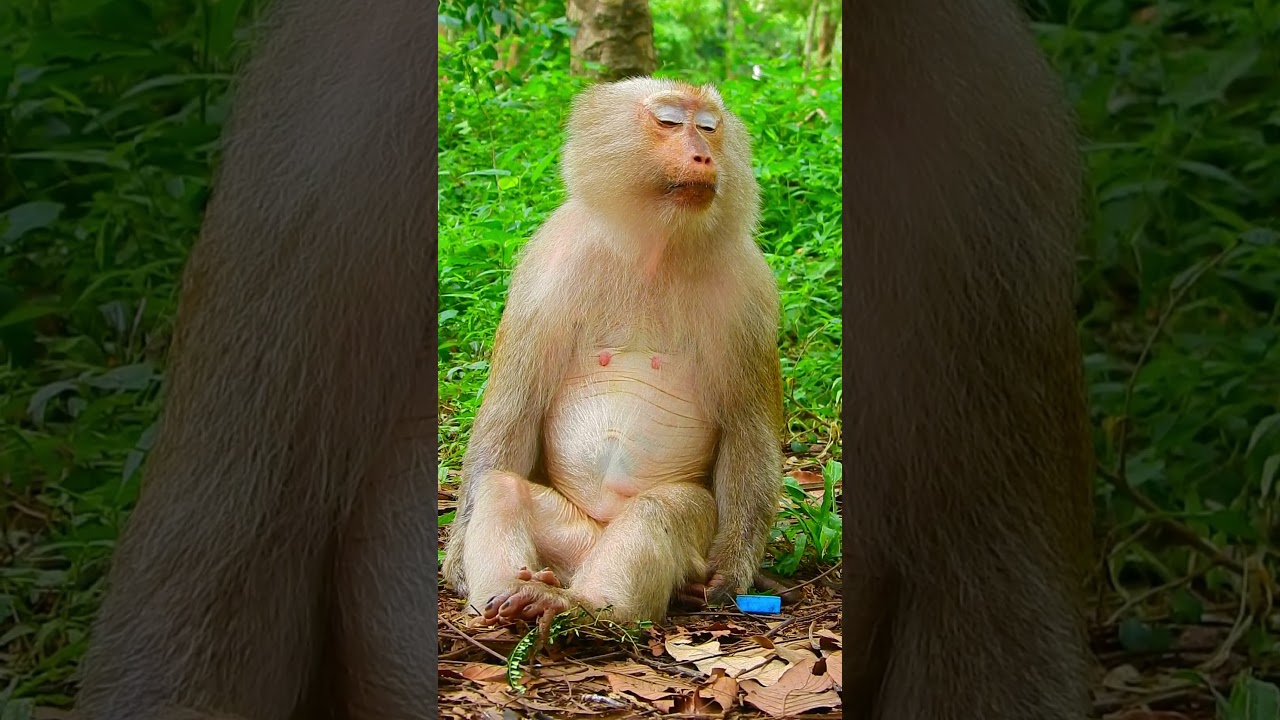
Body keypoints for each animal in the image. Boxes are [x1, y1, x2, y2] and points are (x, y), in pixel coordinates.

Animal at [439, 77, 786, 626]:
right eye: (669, 121)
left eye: (709, 127)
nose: (703, 155)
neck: (654, 249)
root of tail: (590, 550)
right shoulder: (548, 268)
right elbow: (514, 412)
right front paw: (456, 563)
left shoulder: (749, 291)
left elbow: (747, 431)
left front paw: (731, 571)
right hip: (568, 540)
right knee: (502, 487)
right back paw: (511, 597)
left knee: (662, 509)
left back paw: (585, 607)